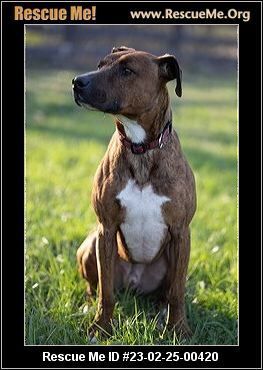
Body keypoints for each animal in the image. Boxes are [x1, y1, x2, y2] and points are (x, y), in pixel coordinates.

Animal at [71, 45, 196, 338]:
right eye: (100, 64)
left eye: (126, 70)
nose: (77, 82)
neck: (141, 149)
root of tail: (135, 283)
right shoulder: (106, 228)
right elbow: (106, 292)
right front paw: (101, 328)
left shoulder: (181, 232)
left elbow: (178, 293)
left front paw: (178, 329)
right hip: (91, 244)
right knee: (96, 287)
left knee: (167, 293)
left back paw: (161, 312)